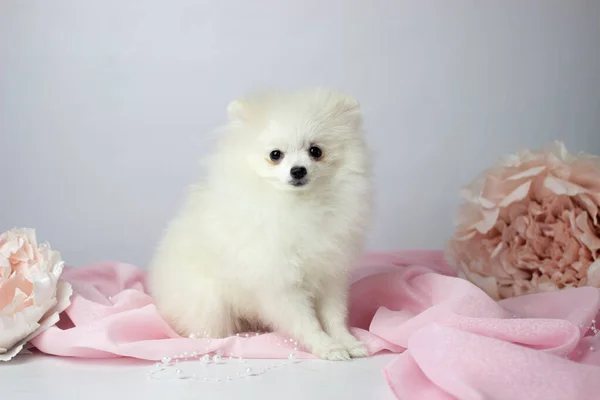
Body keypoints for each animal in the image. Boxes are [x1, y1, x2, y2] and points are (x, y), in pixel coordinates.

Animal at [148, 89, 372, 360]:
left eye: (316, 151)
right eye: (275, 155)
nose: (298, 170)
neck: (299, 205)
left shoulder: (330, 274)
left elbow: (334, 317)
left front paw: (348, 342)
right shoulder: (279, 283)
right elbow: (306, 323)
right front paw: (328, 347)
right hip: (209, 303)